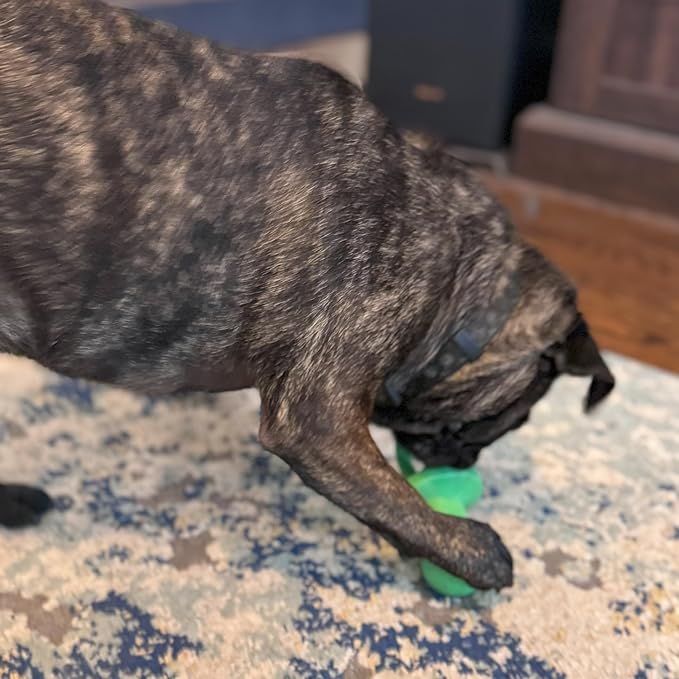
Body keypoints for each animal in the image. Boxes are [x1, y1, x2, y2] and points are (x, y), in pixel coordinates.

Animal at [0, 0, 614, 590]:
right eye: (506, 421)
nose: (465, 460)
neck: (456, 265)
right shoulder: (317, 420)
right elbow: (394, 500)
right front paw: (474, 550)